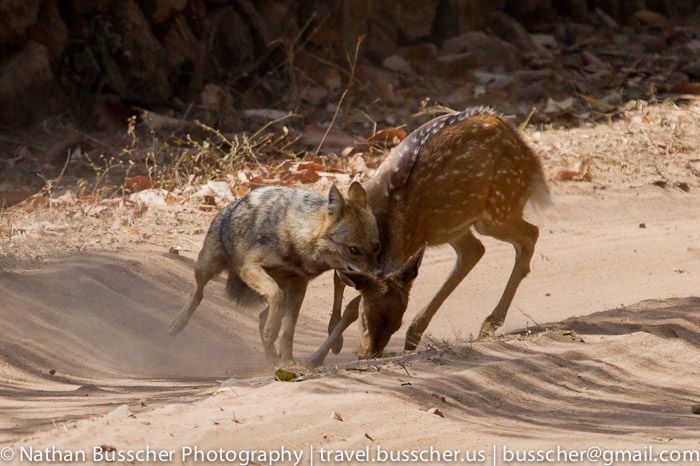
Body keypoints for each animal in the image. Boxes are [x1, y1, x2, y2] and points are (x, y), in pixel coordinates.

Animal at [308, 106, 548, 368]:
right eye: (365, 317)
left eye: (396, 323)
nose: (367, 355)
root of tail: (531, 158)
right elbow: (339, 279)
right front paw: (328, 347)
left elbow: (349, 293)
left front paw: (315, 357)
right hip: (452, 222)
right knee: (475, 250)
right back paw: (419, 332)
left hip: (495, 209)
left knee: (530, 234)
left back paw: (487, 323)